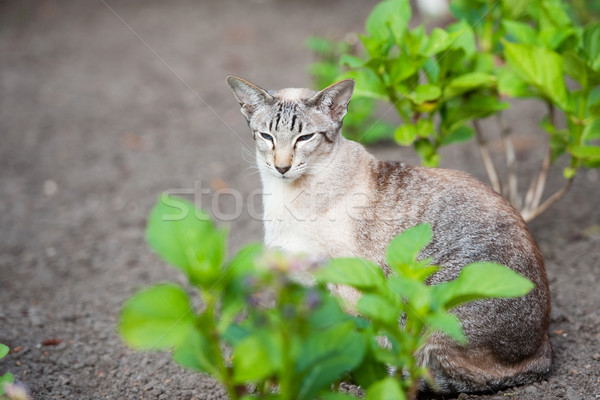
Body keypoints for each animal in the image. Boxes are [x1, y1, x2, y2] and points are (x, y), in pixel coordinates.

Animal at [226, 76, 552, 394]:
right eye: (267, 137)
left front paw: (325, 381)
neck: (285, 195)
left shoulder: (346, 283)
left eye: (304, 138)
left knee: (432, 370)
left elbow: (344, 341)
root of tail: (543, 348)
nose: (281, 167)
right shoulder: (301, 281)